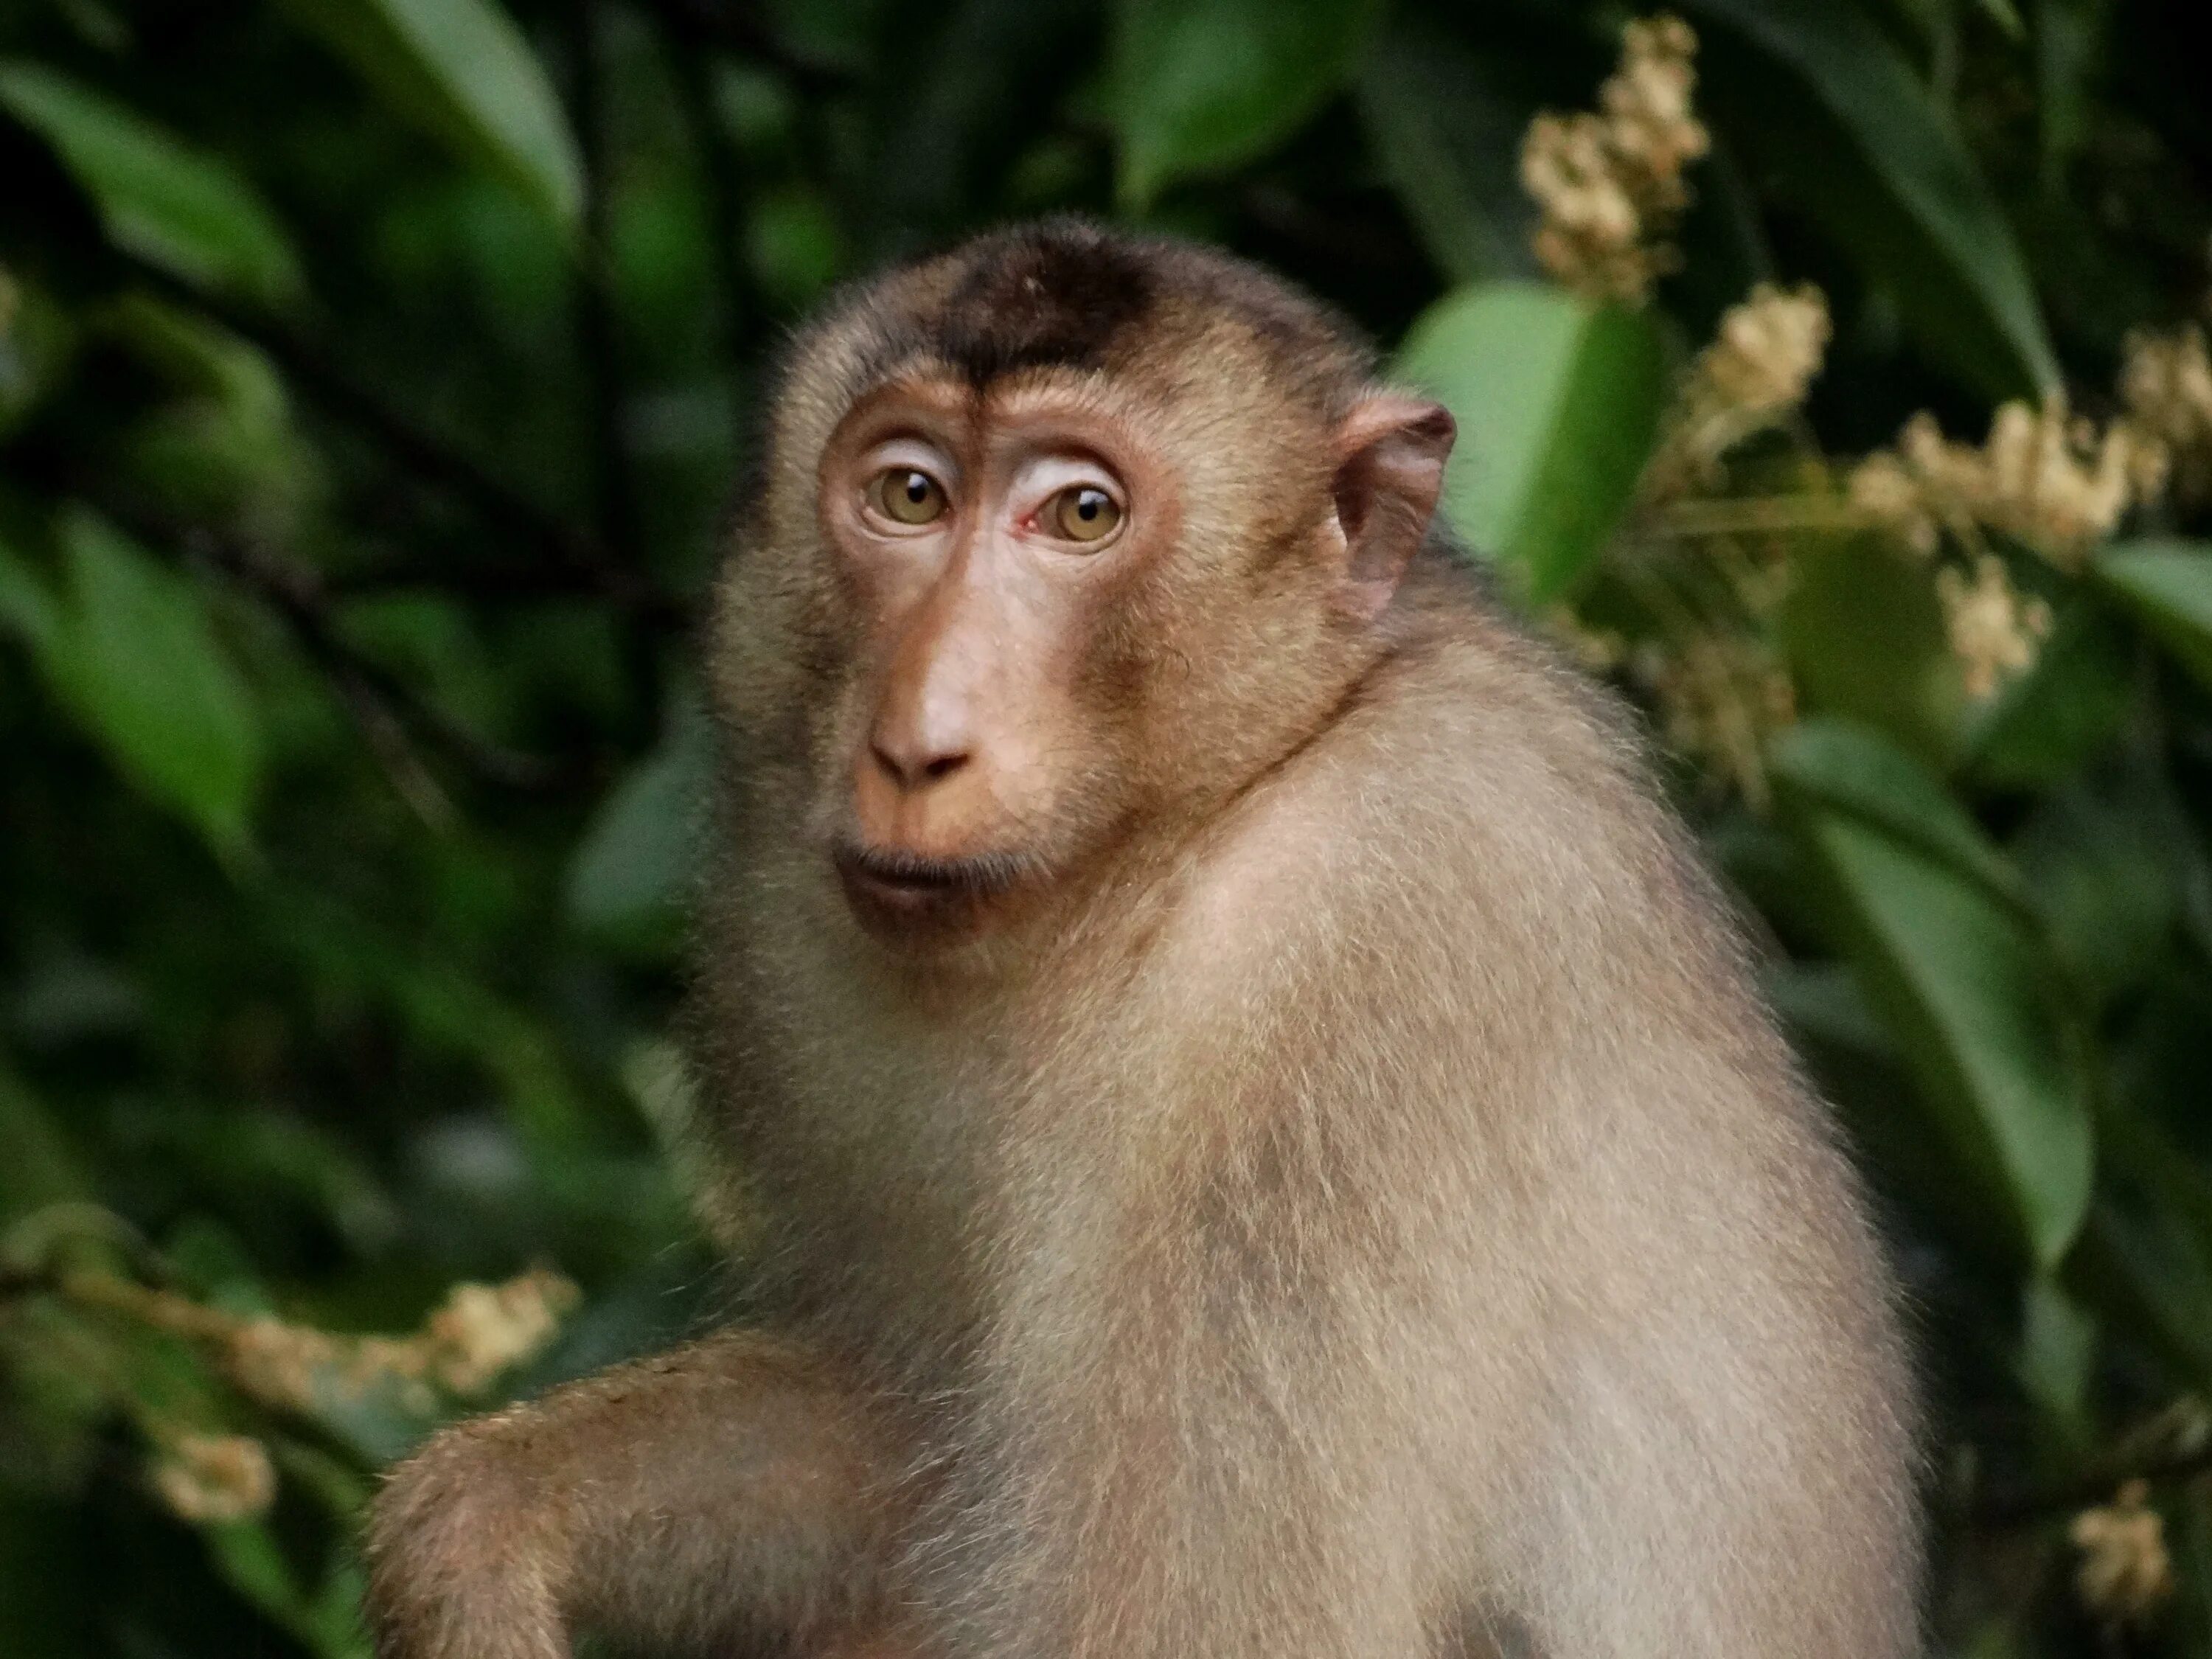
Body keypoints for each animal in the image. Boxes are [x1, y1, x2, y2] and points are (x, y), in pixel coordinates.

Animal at [367, 221, 1920, 1659]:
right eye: (910, 494)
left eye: (1081, 515)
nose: (918, 742)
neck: (1191, 831)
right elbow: (911, 1437)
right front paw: (487, 1522)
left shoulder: (1354, 987)